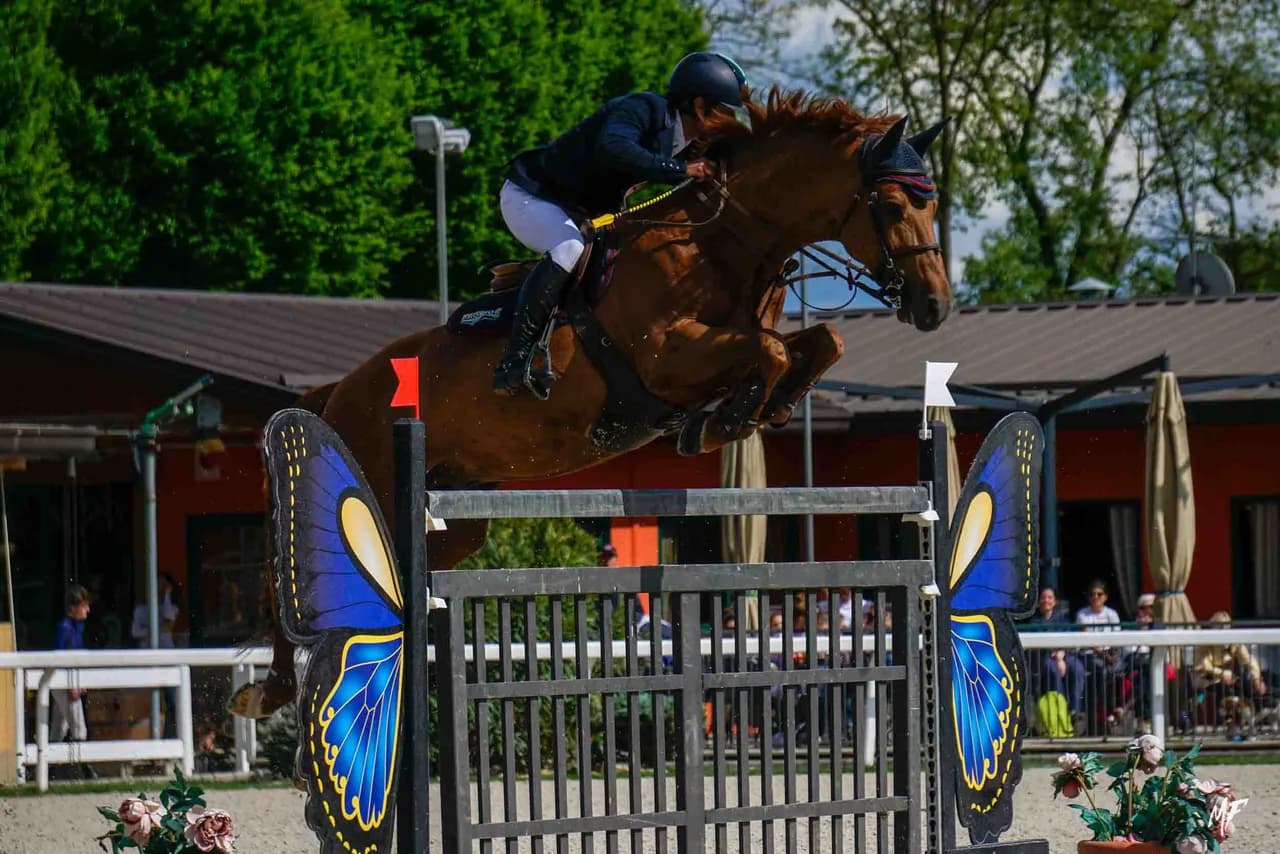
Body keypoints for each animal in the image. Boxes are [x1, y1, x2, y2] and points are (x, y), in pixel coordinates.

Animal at [231, 89, 952, 717]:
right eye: (893, 206)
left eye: (932, 204)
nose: (935, 307)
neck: (722, 242)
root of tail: (339, 390)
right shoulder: (669, 358)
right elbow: (770, 351)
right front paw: (725, 419)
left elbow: (820, 341)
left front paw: (759, 409)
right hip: (374, 480)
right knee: (292, 582)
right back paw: (268, 693)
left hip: (456, 511)